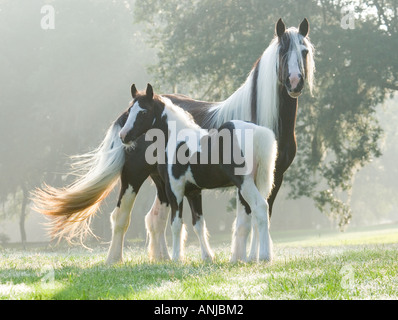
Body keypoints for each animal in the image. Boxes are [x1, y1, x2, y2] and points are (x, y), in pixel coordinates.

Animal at [121, 84, 276, 262]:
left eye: (143, 112)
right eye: (129, 110)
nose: (123, 136)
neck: (176, 139)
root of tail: (256, 131)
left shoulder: (174, 189)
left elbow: (176, 224)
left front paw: (176, 258)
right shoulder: (193, 192)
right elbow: (198, 224)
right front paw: (207, 256)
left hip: (245, 183)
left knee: (260, 207)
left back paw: (264, 257)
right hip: (257, 182)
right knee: (258, 216)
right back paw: (252, 258)